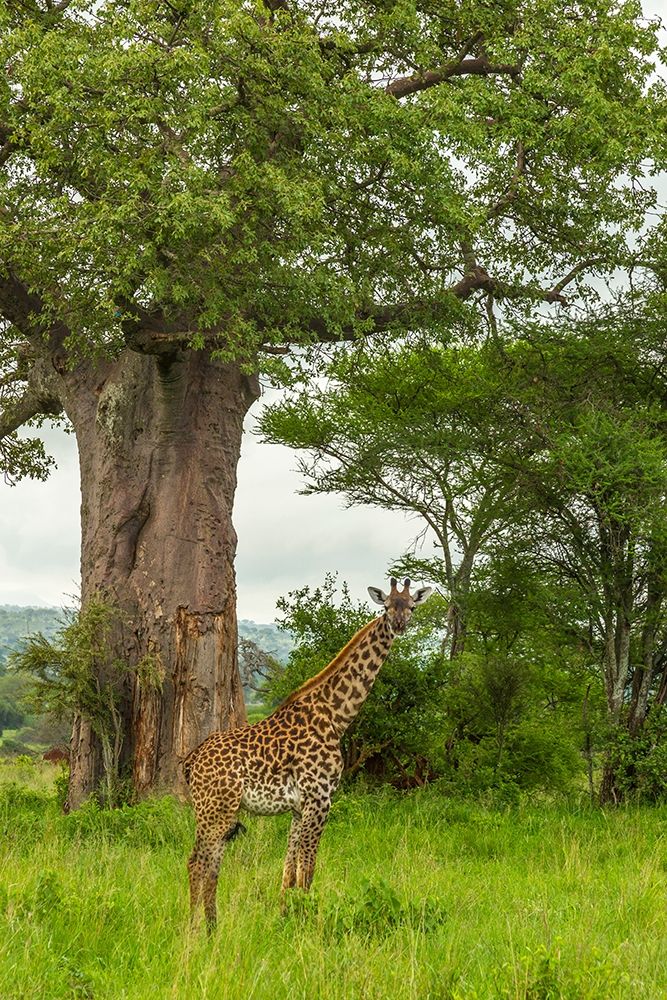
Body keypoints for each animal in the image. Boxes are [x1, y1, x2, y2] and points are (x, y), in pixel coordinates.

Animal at [183, 580, 434, 928]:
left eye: (410, 606)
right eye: (386, 607)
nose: (398, 624)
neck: (336, 715)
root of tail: (191, 760)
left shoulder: (299, 807)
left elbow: (289, 869)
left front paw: (285, 916)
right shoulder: (320, 797)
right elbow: (308, 868)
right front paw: (308, 922)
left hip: (217, 811)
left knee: (210, 863)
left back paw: (212, 926)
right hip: (215, 809)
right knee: (197, 862)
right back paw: (195, 930)